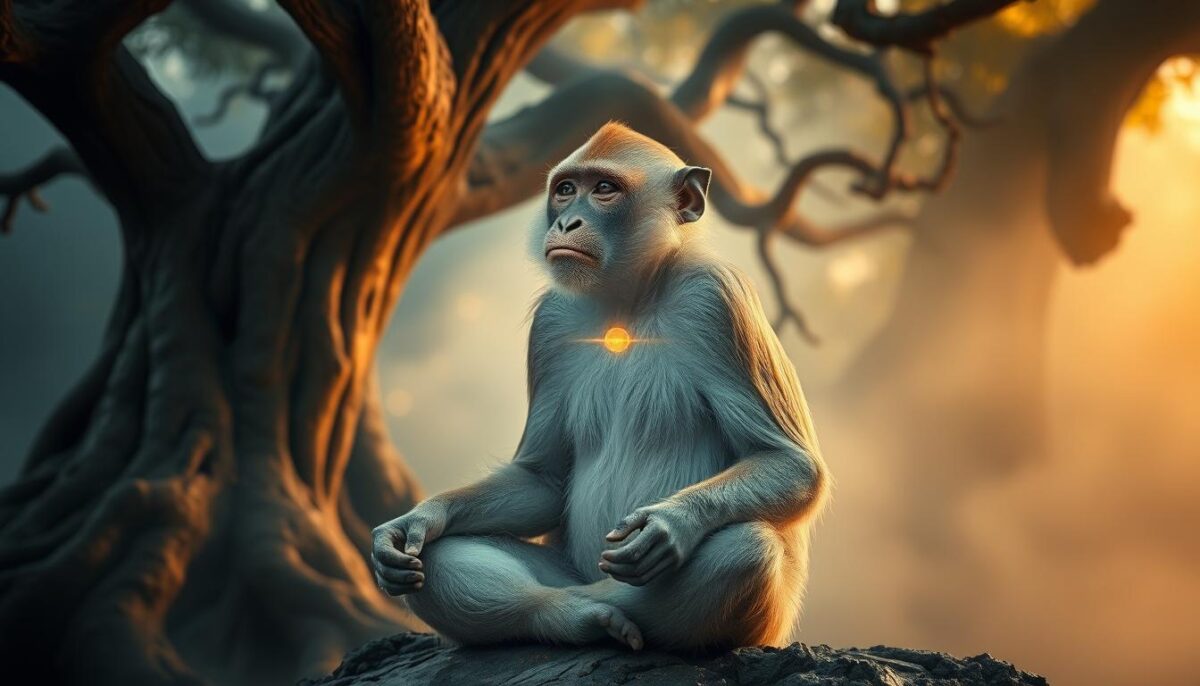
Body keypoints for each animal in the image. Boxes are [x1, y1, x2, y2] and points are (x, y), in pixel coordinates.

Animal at [372, 122, 829, 652]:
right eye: (566, 189)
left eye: (605, 189)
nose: (568, 223)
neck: (628, 302)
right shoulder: (550, 324)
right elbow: (543, 479)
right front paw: (419, 520)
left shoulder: (715, 297)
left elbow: (791, 463)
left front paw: (671, 522)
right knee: (441, 558)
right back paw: (573, 613)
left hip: (765, 622)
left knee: (746, 548)